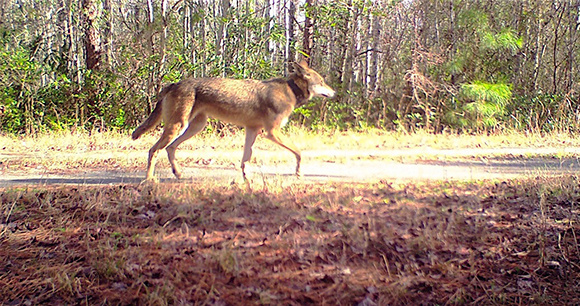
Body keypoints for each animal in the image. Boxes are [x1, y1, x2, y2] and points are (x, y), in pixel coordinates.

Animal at [131, 61, 336, 182]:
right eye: (322, 82)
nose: (334, 92)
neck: (291, 90)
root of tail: (173, 84)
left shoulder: (252, 130)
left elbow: (245, 159)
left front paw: (246, 180)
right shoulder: (272, 133)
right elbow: (299, 152)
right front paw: (299, 173)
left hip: (193, 127)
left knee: (169, 148)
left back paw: (178, 174)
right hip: (179, 127)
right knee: (153, 150)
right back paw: (149, 180)